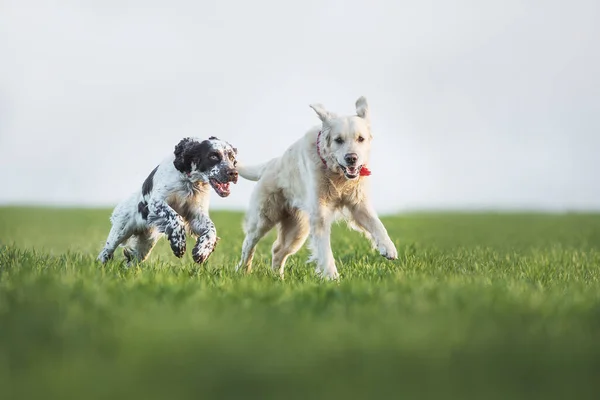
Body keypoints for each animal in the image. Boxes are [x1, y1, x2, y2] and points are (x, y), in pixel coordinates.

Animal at [97, 137, 238, 266]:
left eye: (232, 158)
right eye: (213, 156)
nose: (234, 173)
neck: (189, 181)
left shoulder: (196, 214)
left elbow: (211, 228)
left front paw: (203, 250)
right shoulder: (156, 202)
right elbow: (176, 217)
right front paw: (179, 244)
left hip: (146, 242)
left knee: (132, 261)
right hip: (121, 230)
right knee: (106, 251)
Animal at [236, 96, 398, 278]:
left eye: (360, 139)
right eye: (338, 140)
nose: (351, 158)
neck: (337, 175)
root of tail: (269, 164)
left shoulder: (358, 203)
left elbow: (377, 224)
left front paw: (388, 247)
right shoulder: (320, 213)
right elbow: (324, 249)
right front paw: (331, 276)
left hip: (297, 229)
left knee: (278, 251)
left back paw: (279, 278)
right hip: (264, 217)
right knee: (249, 243)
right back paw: (243, 270)